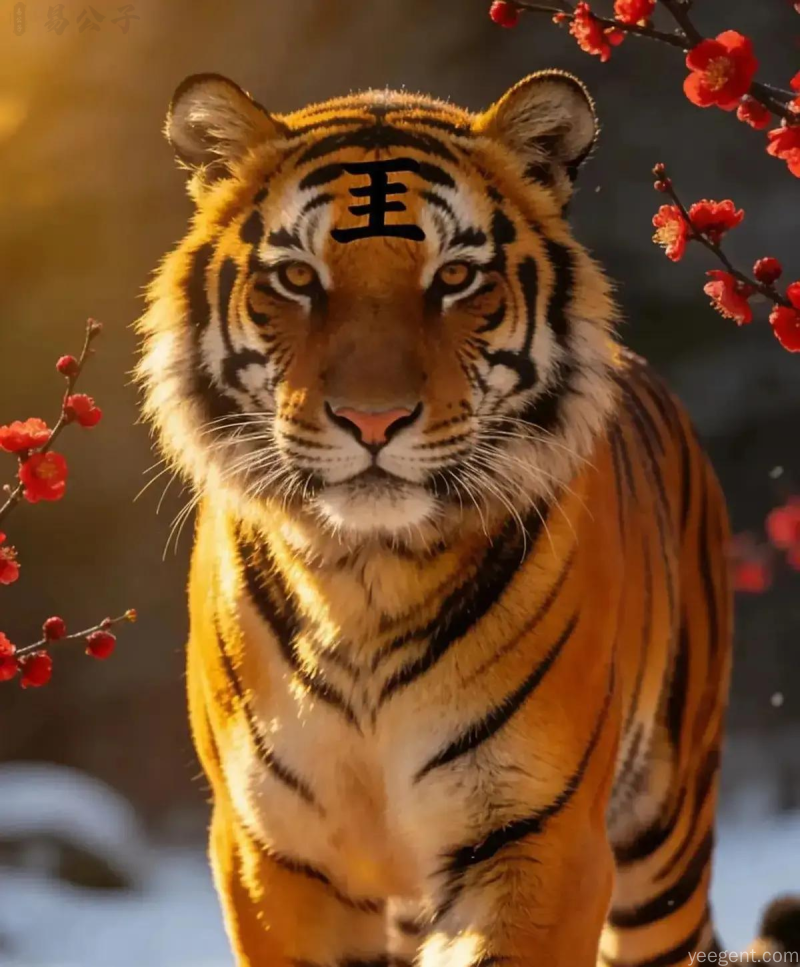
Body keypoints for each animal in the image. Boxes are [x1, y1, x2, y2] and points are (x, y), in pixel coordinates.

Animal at [136, 70, 799, 967]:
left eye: (453, 277)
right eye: (299, 278)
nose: (372, 419)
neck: (364, 581)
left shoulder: (540, 839)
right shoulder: (271, 851)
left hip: (663, 843)